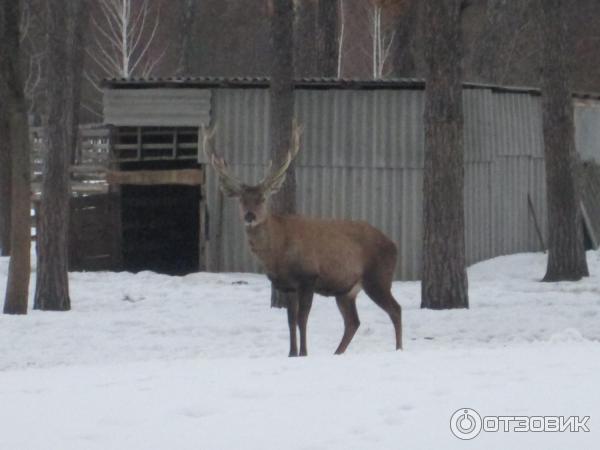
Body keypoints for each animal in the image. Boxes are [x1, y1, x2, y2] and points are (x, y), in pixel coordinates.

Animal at [203, 125, 404, 356]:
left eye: (262, 198)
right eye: (241, 200)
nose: (250, 216)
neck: (278, 253)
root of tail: (393, 244)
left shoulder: (308, 277)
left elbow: (302, 319)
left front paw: (304, 353)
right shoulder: (287, 286)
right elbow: (290, 321)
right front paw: (291, 353)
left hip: (378, 277)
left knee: (395, 309)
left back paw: (399, 349)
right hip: (346, 290)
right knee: (353, 322)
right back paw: (337, 353)